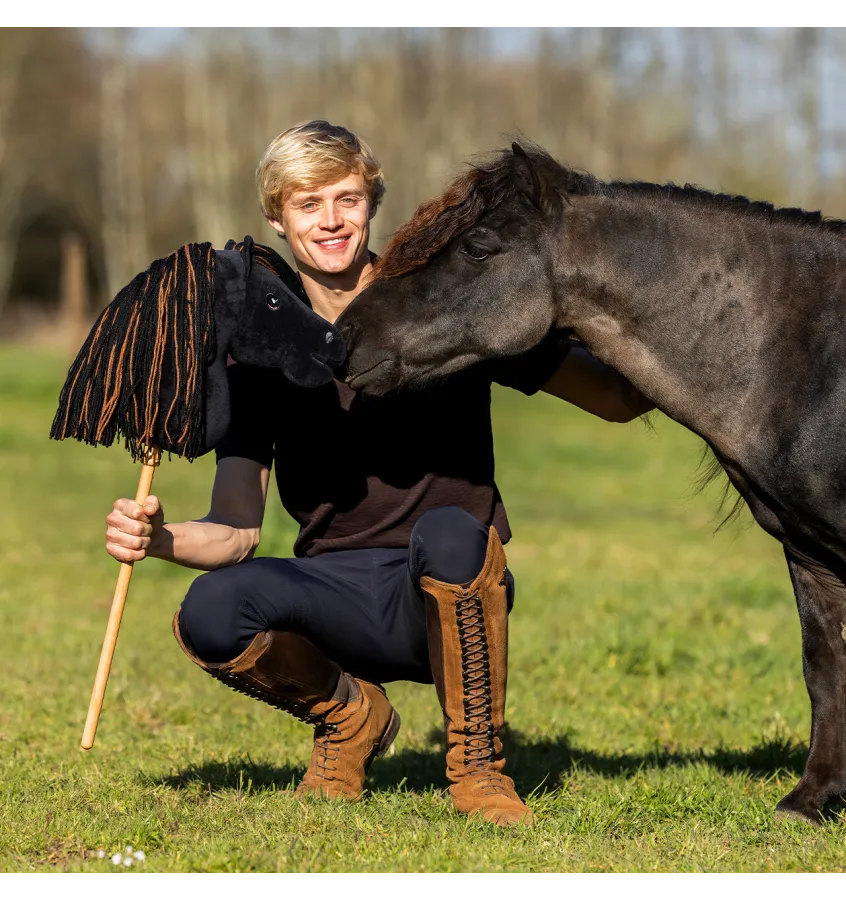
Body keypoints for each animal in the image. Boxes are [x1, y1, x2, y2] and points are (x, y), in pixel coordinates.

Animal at [336, 142, 846, 824]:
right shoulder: (810, 554)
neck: (807, 358)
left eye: (477, 248)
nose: (343, 336)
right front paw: (811, 800)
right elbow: (823, 664)